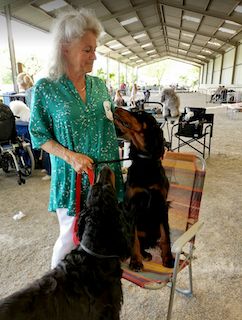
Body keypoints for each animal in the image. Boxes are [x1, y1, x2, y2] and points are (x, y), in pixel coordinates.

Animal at [114, 109, 174, 272]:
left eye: (140, 113)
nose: (116, 108)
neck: (145, 161)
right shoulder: (130, 207)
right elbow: (133, 239)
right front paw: (135, 262)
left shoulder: (162, 204)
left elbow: (166, 236)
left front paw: (168, 258)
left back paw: (146, 253)